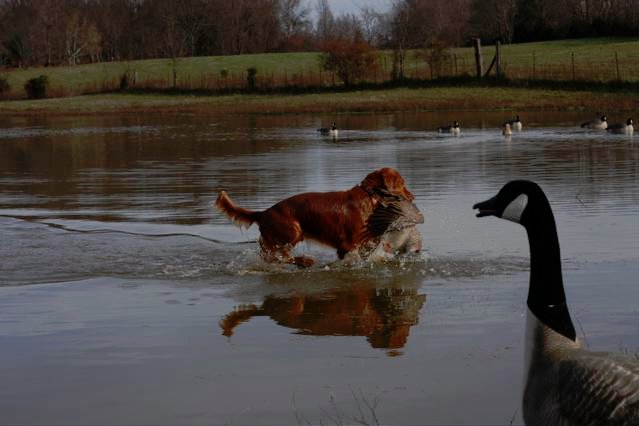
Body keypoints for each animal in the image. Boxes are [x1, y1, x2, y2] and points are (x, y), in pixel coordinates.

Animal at [214, 167, 416, 264]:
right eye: (402, 183)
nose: (412, 196)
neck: (369, 197)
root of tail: (263, 213)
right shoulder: (348, 245)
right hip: (293, 232)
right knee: (278, 256)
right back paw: (305, 261)